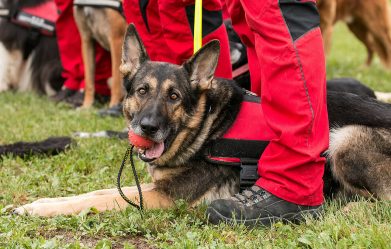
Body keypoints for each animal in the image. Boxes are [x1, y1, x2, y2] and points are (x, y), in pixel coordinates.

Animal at [13, 24, 391, 217]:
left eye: (174, 97)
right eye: (142, 91)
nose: (147, 128)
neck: (205, 126)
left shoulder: (165, 198)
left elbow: (98, 199)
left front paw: (39, 209)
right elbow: (98, 191)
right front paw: (40, 203)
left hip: (343, 140)